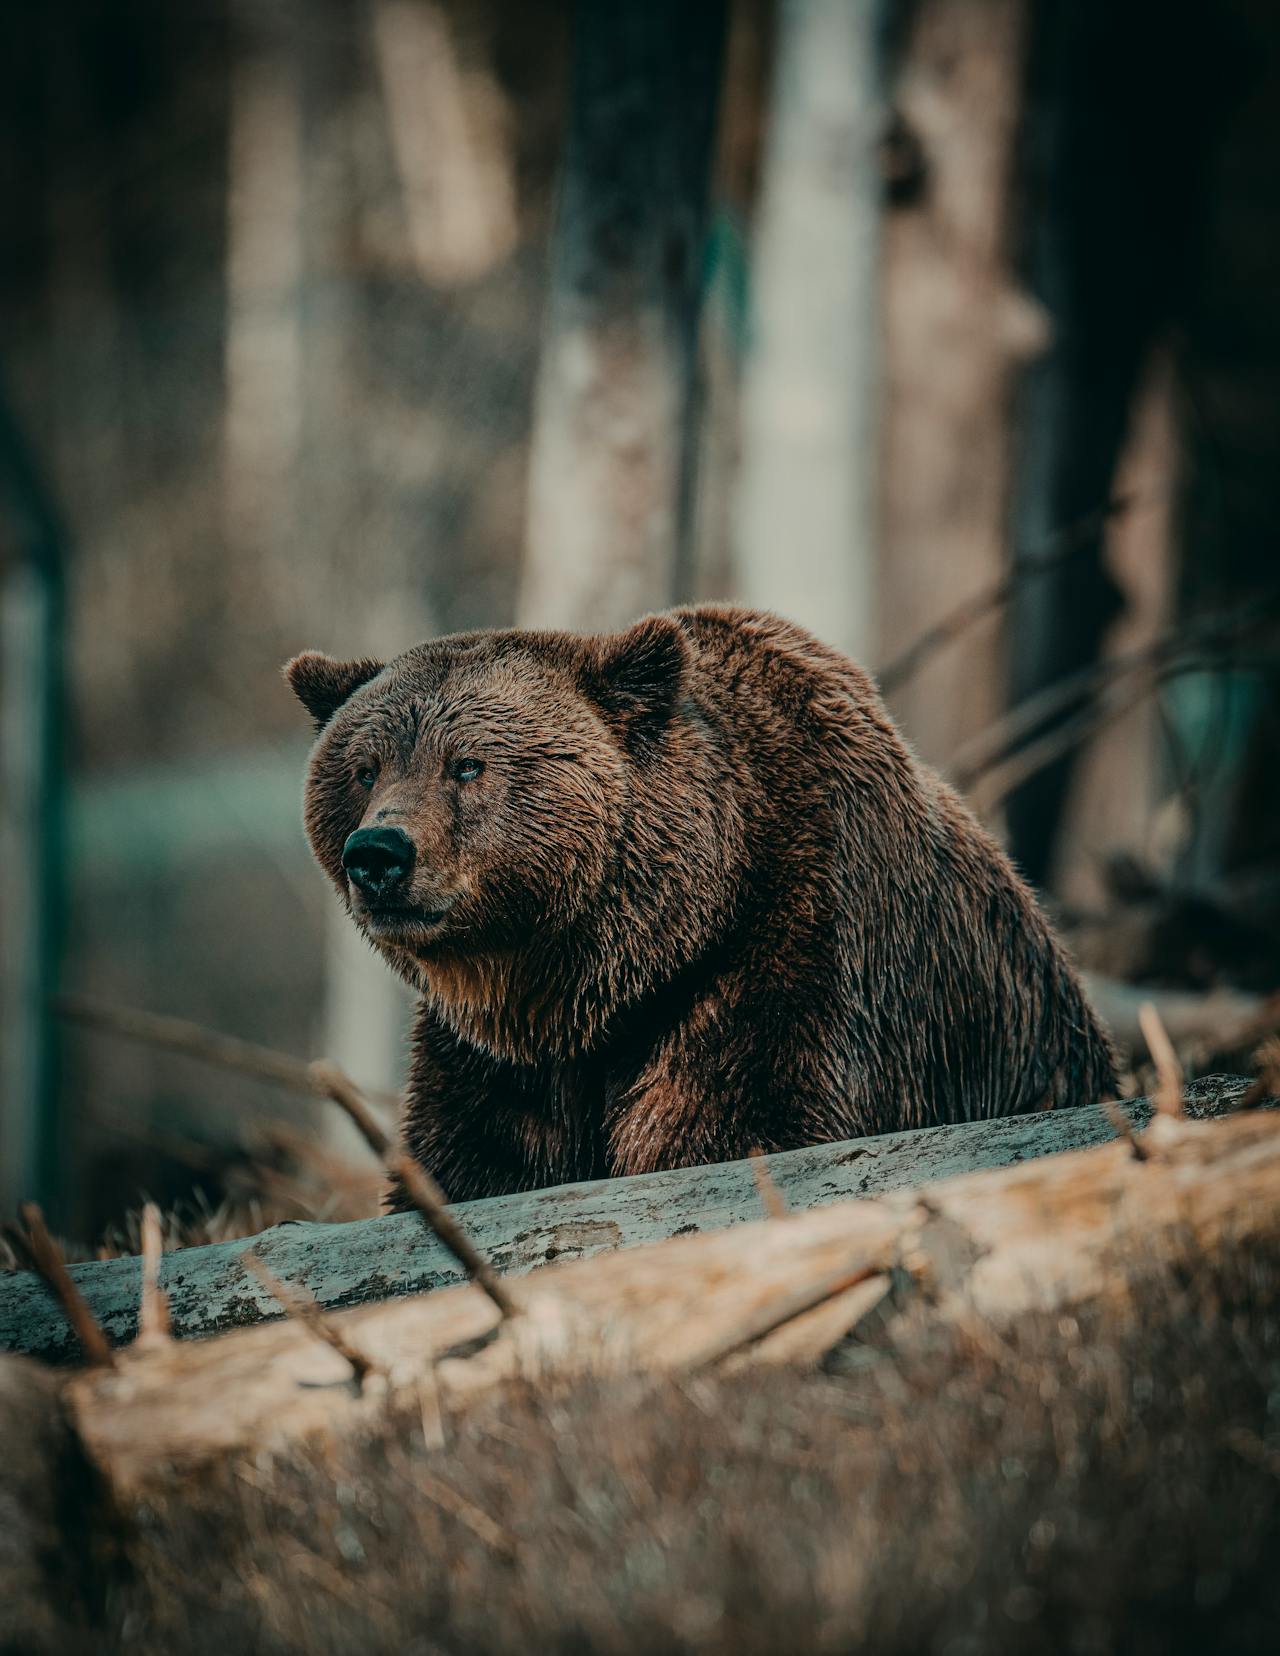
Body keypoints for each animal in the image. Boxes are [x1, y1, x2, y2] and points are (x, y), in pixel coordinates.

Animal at [284, 602, 1112, 1198]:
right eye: (364, 768)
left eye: (467, 765)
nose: (378, 855)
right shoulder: (497, 1062)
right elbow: (471, 1163)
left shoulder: (792, 959)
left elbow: (736, 1125)